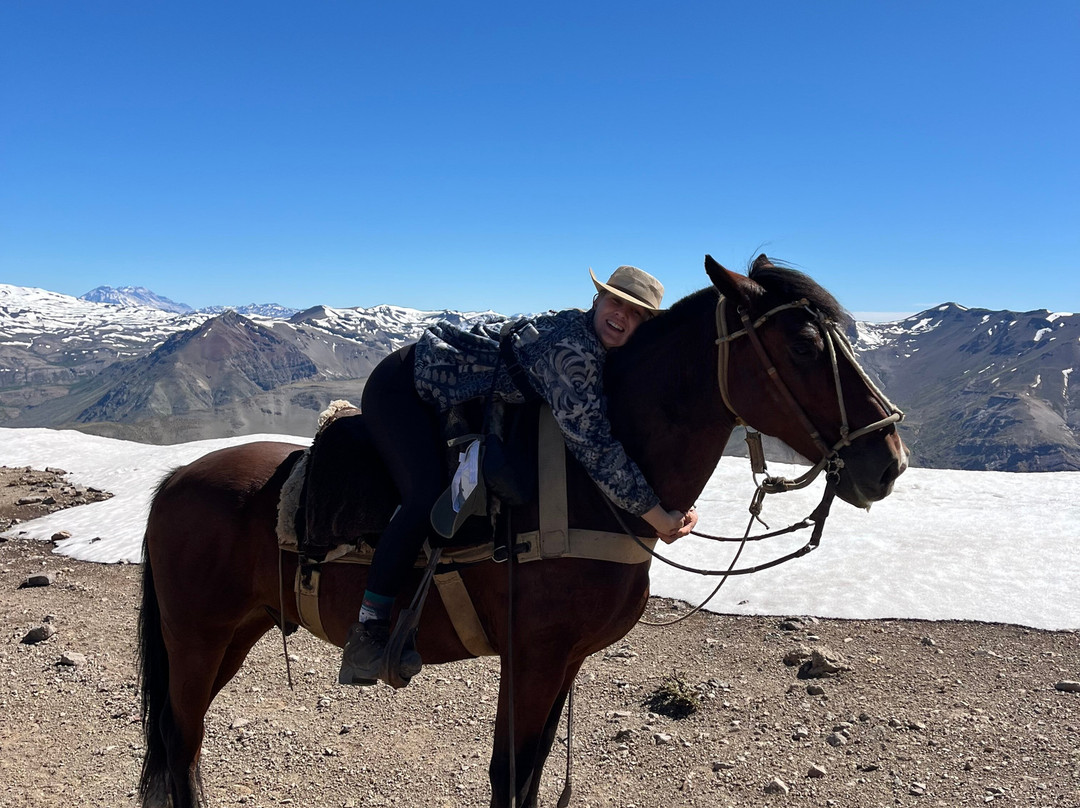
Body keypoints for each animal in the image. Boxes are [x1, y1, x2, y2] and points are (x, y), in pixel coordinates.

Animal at [137, 255, 907, 808]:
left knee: (185, 744)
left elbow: (532, 778)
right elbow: (508, 777)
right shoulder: (531, 657)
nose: (888, 461)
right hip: (196, 635)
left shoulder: (564, 663)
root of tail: (173, 482)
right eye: (803, 345)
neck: (588, 489)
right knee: (180, 739)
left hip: (235, 632)